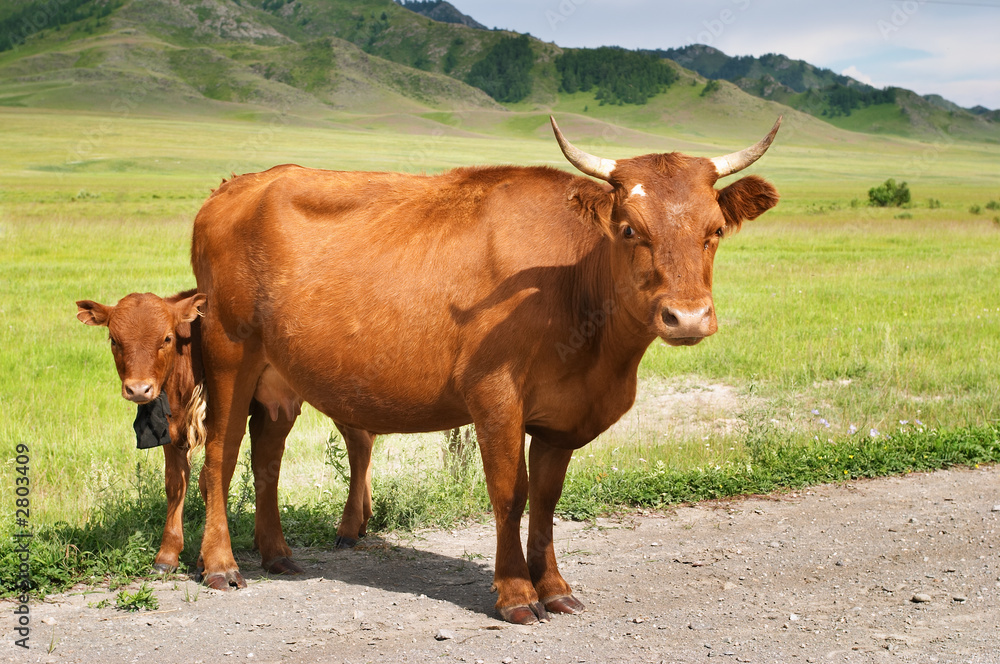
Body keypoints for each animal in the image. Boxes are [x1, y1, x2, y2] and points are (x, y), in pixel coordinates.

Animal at [75, 290, 304, 576]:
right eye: (114, 340)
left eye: (166, 338)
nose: (138, 389)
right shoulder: (171, 430)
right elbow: (175, 484)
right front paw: (168, 554)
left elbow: (210, 480)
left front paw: (206, 558)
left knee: (269, 466)